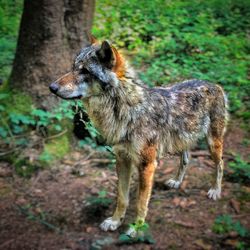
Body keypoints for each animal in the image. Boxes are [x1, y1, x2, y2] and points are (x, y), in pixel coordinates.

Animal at [48, 37, 229, 236]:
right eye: (73, 67)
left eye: (84, 71)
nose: (52, 87)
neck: (127, 110)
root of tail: (215, 85)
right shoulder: (122, 159)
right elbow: (122, 198)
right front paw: (115, 221)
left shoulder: (146, 165)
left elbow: (141, 202)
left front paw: (136, 228)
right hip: (182, 141)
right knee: (186, 159)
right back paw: (176, 182)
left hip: (213, 143)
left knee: (220, 164)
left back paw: (215, 190)